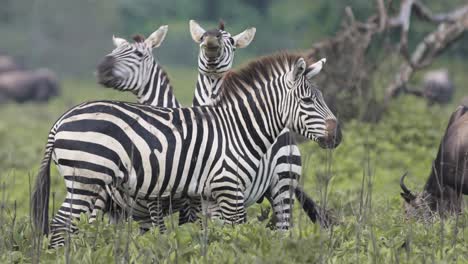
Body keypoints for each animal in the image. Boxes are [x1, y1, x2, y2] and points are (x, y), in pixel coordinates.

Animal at [32, 51, 340, 248]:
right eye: (307, 100)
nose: (338, 135)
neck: (238, 130)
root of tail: (60, 120)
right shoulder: (229, 190)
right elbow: (236, 233)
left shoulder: (211, 196)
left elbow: (214, 237)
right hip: (88, 179)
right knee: (61, 224)